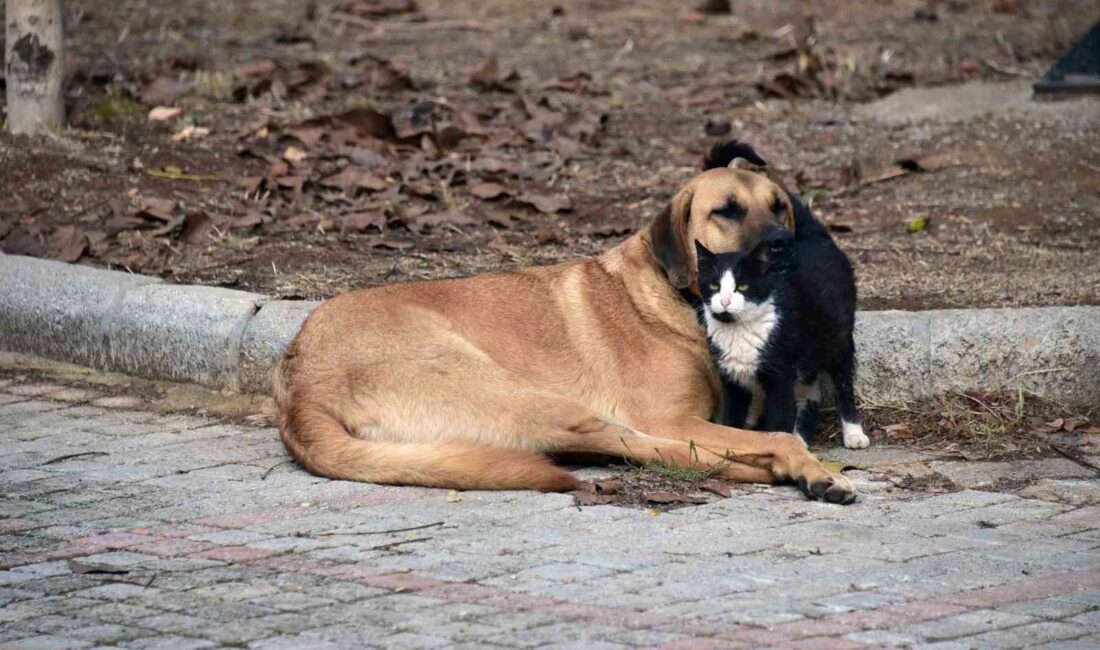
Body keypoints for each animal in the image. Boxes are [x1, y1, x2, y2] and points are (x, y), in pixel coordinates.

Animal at [695, 218, 866, 448]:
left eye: (743, 286)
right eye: (714, 285)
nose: (724, 301)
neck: (739, 329)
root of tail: (817, 239)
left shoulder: (779, 378)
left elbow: (779, 418)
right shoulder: (732, 382)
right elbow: (731, 420)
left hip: (838, 338)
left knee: (844, 383)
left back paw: (853, 433)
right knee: (810, 392)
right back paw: (801, 438)